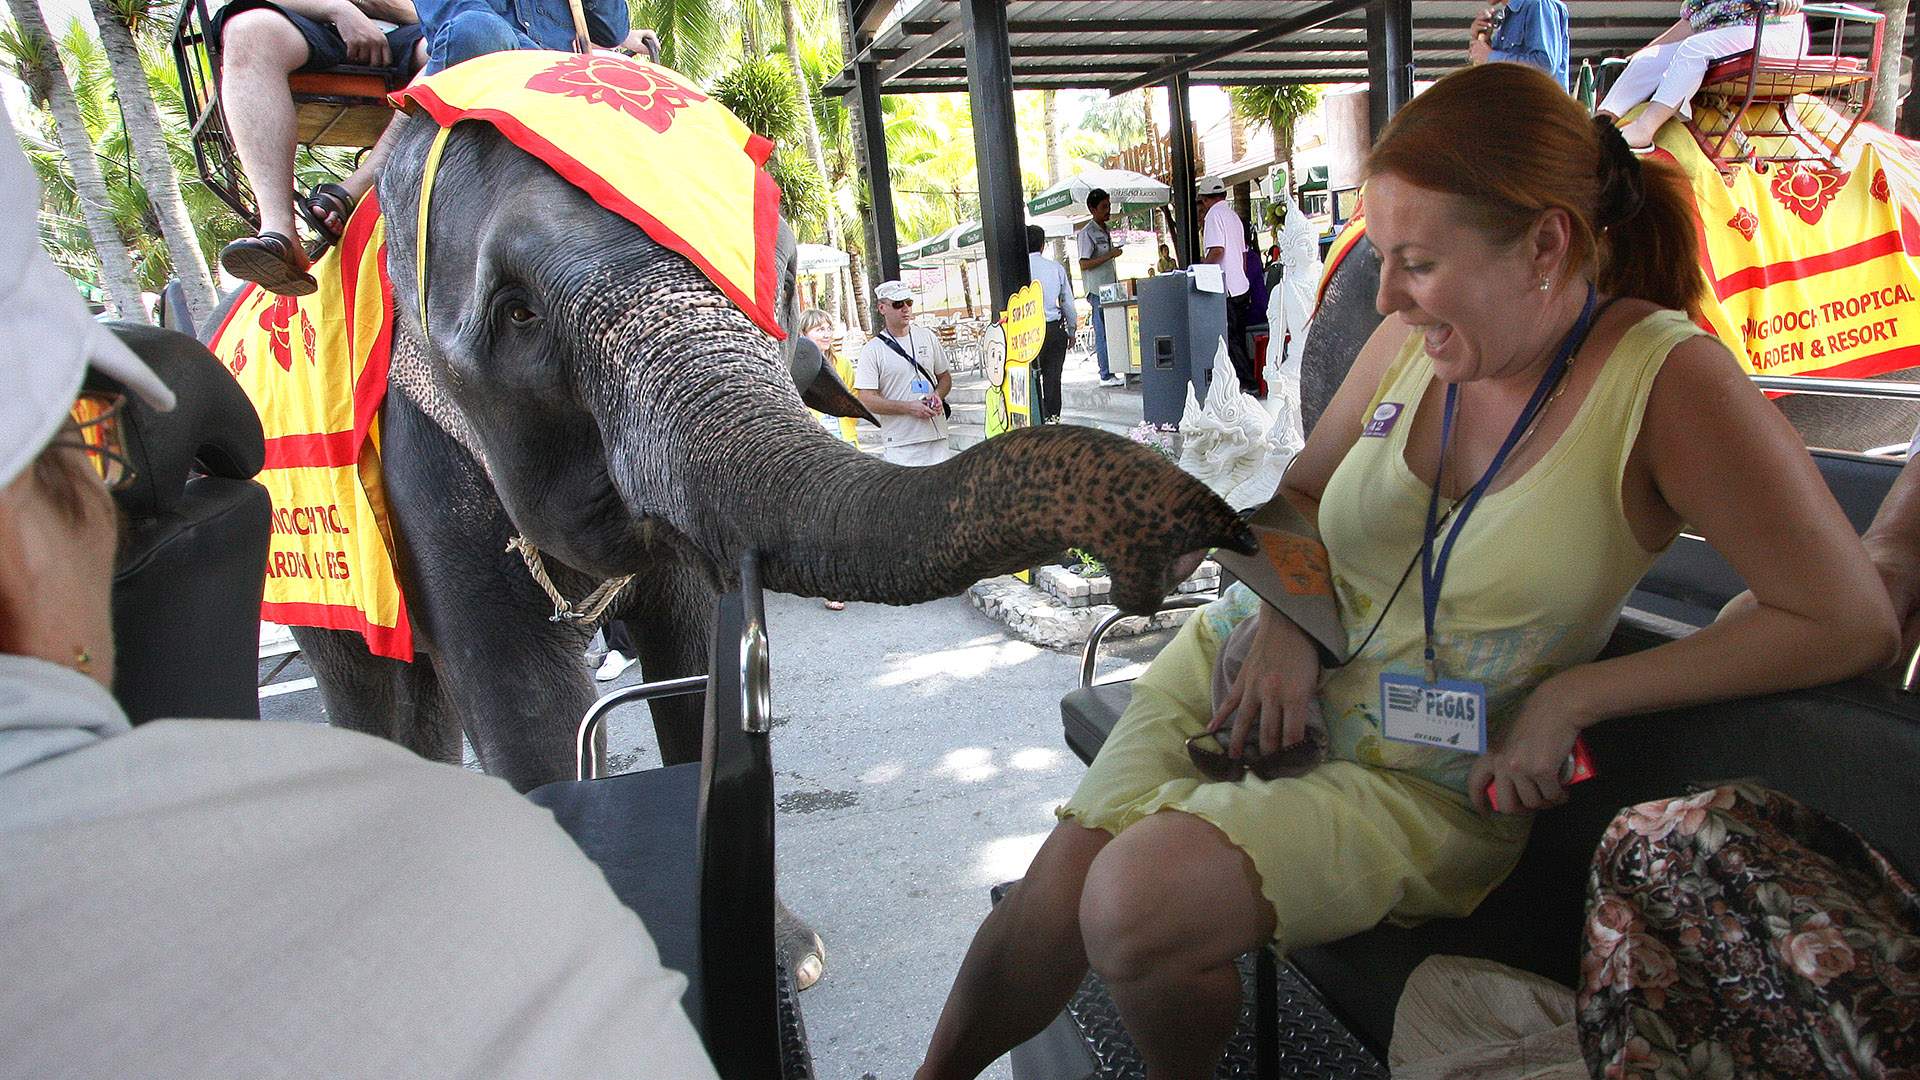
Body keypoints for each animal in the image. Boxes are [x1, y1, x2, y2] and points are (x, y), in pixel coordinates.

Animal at [210, 111, 1251, 976]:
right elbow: (525, 701)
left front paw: (787, 958)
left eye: (781, 280)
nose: (1183, 557)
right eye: (517, 313)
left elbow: (686, 663)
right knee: (372, 688)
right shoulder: (421, 461)